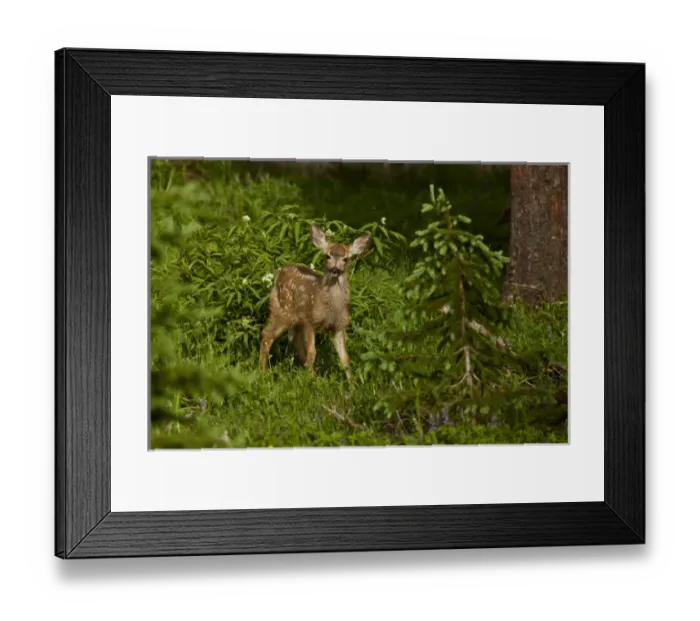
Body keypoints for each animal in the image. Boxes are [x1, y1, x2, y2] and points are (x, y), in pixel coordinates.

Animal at [259, 223, 372, 379]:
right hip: (282, 308)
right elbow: (312, 353)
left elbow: (345, 358)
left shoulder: (339, 325)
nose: (335, 269)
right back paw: (262, 372)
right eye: (327, 256)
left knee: (293, 337)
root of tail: (280, 272)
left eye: (346, 259)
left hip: (294, 317)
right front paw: (310, 380)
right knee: (267, 334)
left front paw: (352, 382)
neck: (331, 309)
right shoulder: (310, 320)